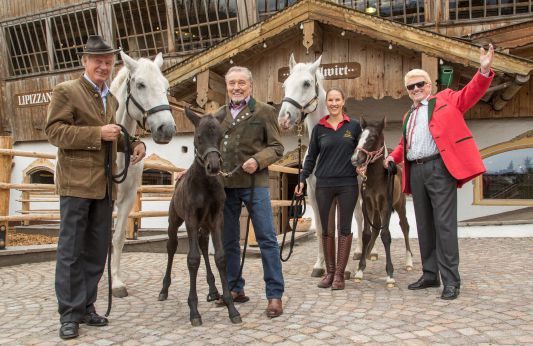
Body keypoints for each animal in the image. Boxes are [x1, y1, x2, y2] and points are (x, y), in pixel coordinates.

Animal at [110, 51, 177, 298]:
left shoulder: (128, 197)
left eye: (166, 87)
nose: (167, 129)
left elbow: (118, 237)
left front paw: (116, 282)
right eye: (140, 84)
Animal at [278, 53, 374, 278]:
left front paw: (343, 269)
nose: (284, 119)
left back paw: (362, 253)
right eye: (285, 84)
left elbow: (341, 227)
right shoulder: (314, 194)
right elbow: (323, 229)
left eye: (306, 83)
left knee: (360, 217)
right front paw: (320, 265)